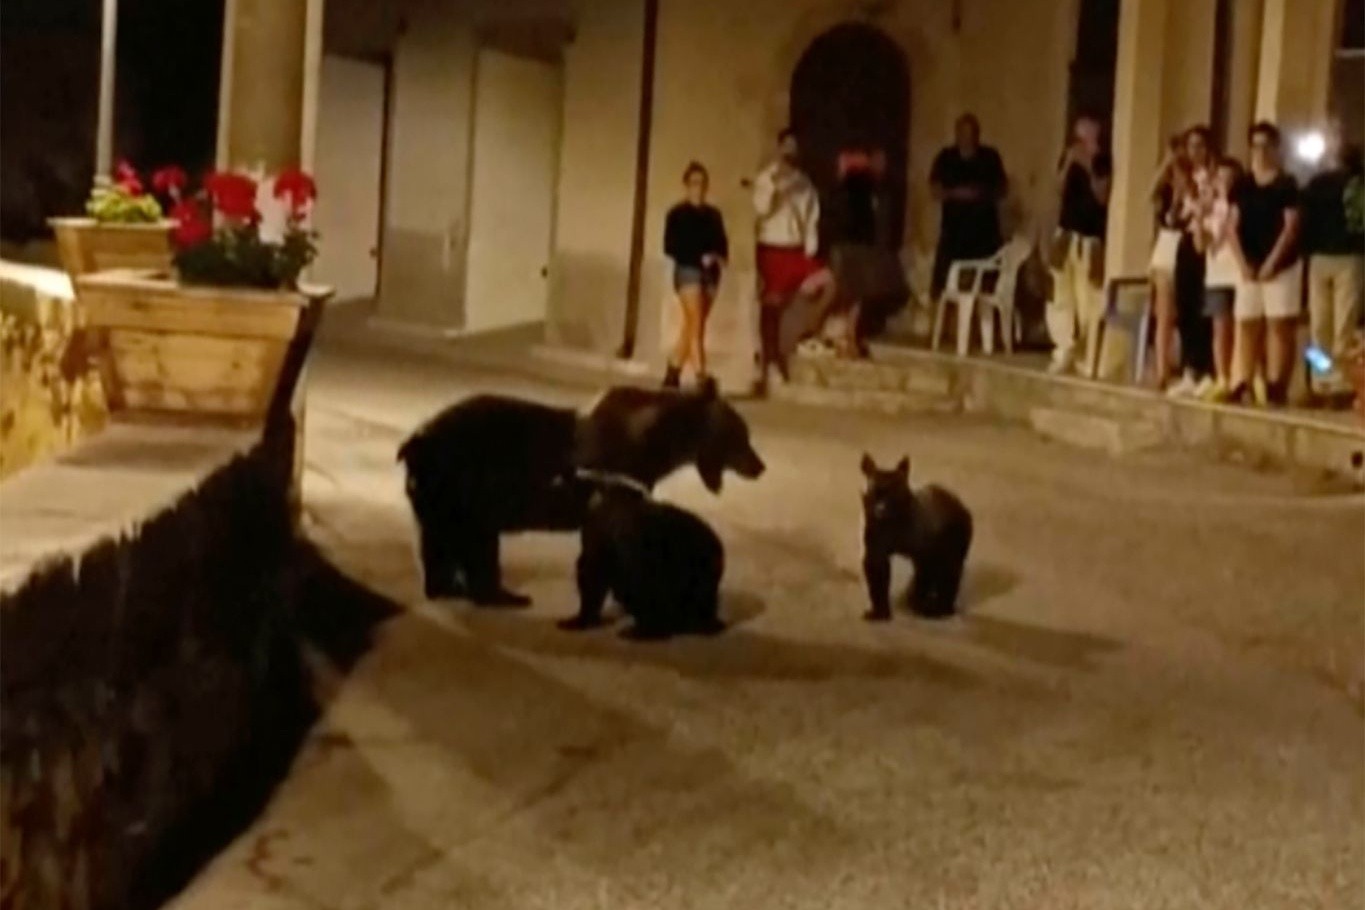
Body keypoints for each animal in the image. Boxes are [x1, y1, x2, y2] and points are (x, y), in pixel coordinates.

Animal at [398, 382, 769, 608]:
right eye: (742, 435)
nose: (760, 466)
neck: (657, 443)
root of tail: (415, 442)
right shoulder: (616, 474)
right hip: (465, 482)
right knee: (474, 542)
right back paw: (500, 595)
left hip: (444, 494)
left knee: (440, 542)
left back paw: (449, 587)